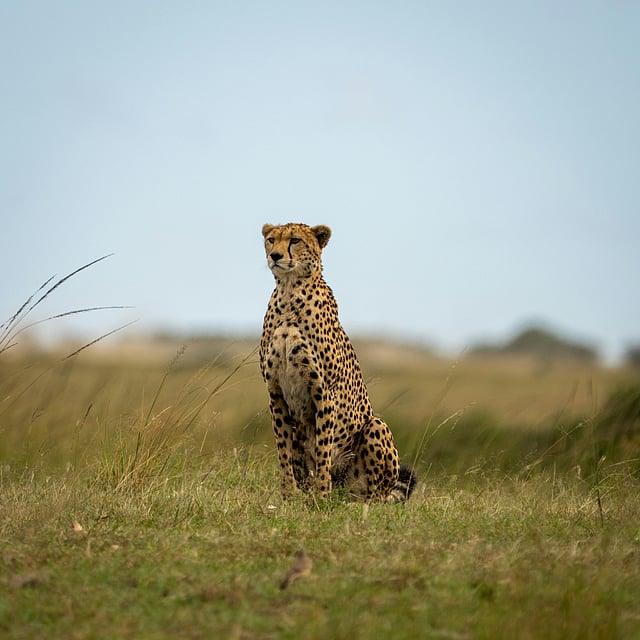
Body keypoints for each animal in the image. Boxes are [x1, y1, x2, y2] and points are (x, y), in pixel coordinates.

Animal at [260, 222, 417, 502]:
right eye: (271, 240)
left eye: (295, 240)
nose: (275, 256)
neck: (289, 292)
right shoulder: (275, 391)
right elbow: (283, 449)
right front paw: (288, 495)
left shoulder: (323, 391)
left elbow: (323, 449)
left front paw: (321, 495)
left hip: (375, 426)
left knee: (374, 497)